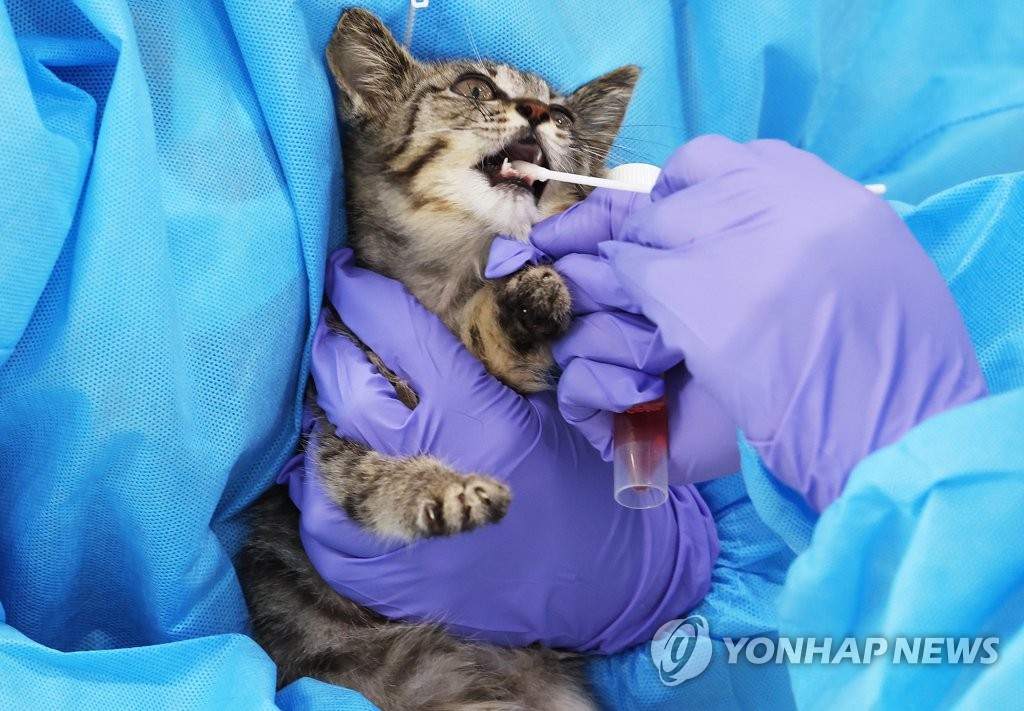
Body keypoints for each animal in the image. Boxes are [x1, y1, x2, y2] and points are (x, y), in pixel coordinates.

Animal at [240, 6, 638, 711]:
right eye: (475, 88)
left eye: (565, 117)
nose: (539, 111)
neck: (450, 284)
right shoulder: (332, 432)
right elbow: (371, 476)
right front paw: (439, 489)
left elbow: (512, 350)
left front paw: (531, 298)